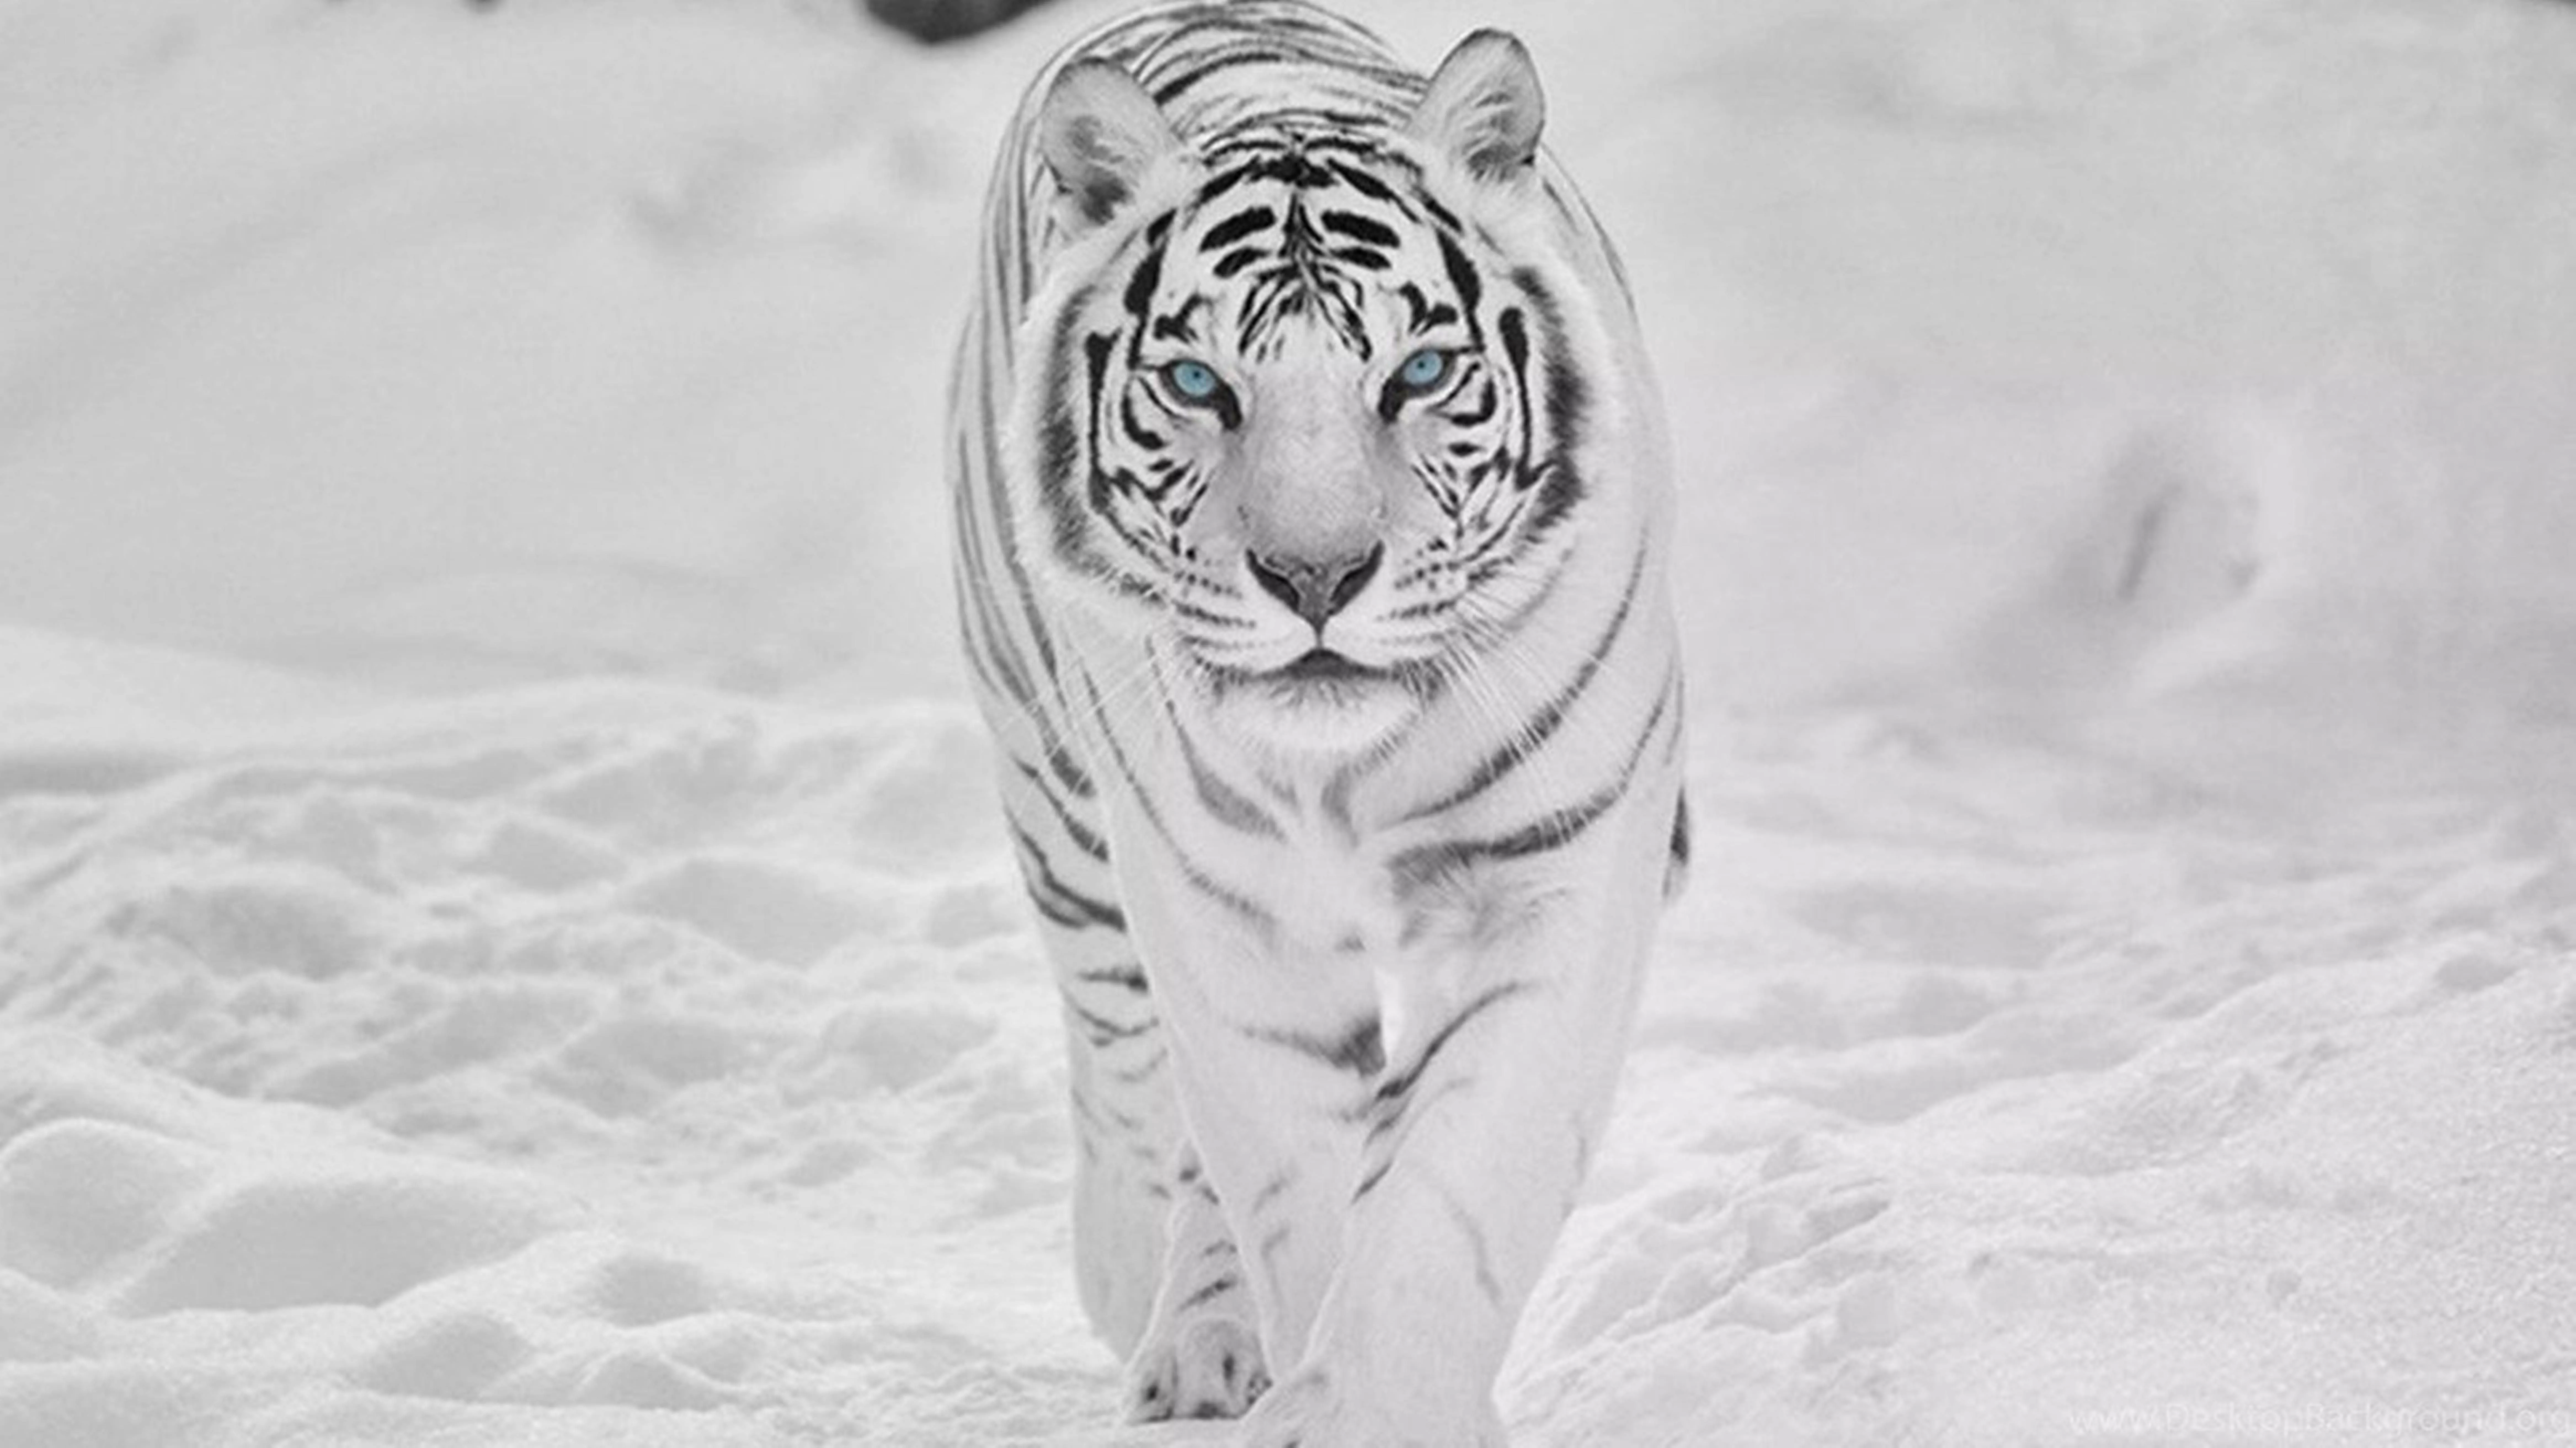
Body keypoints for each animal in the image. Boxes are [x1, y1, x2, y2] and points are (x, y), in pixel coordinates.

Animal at [943, 2, 1686, 1441]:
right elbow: (1289, 1178)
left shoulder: (1548, 881)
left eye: (1422, 373)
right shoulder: (1227, 916)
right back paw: (1159, 1311)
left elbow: (1445, 1201)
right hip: (1057, 796)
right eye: (1195, 382)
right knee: (1125, 1061)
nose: (1317, 577)